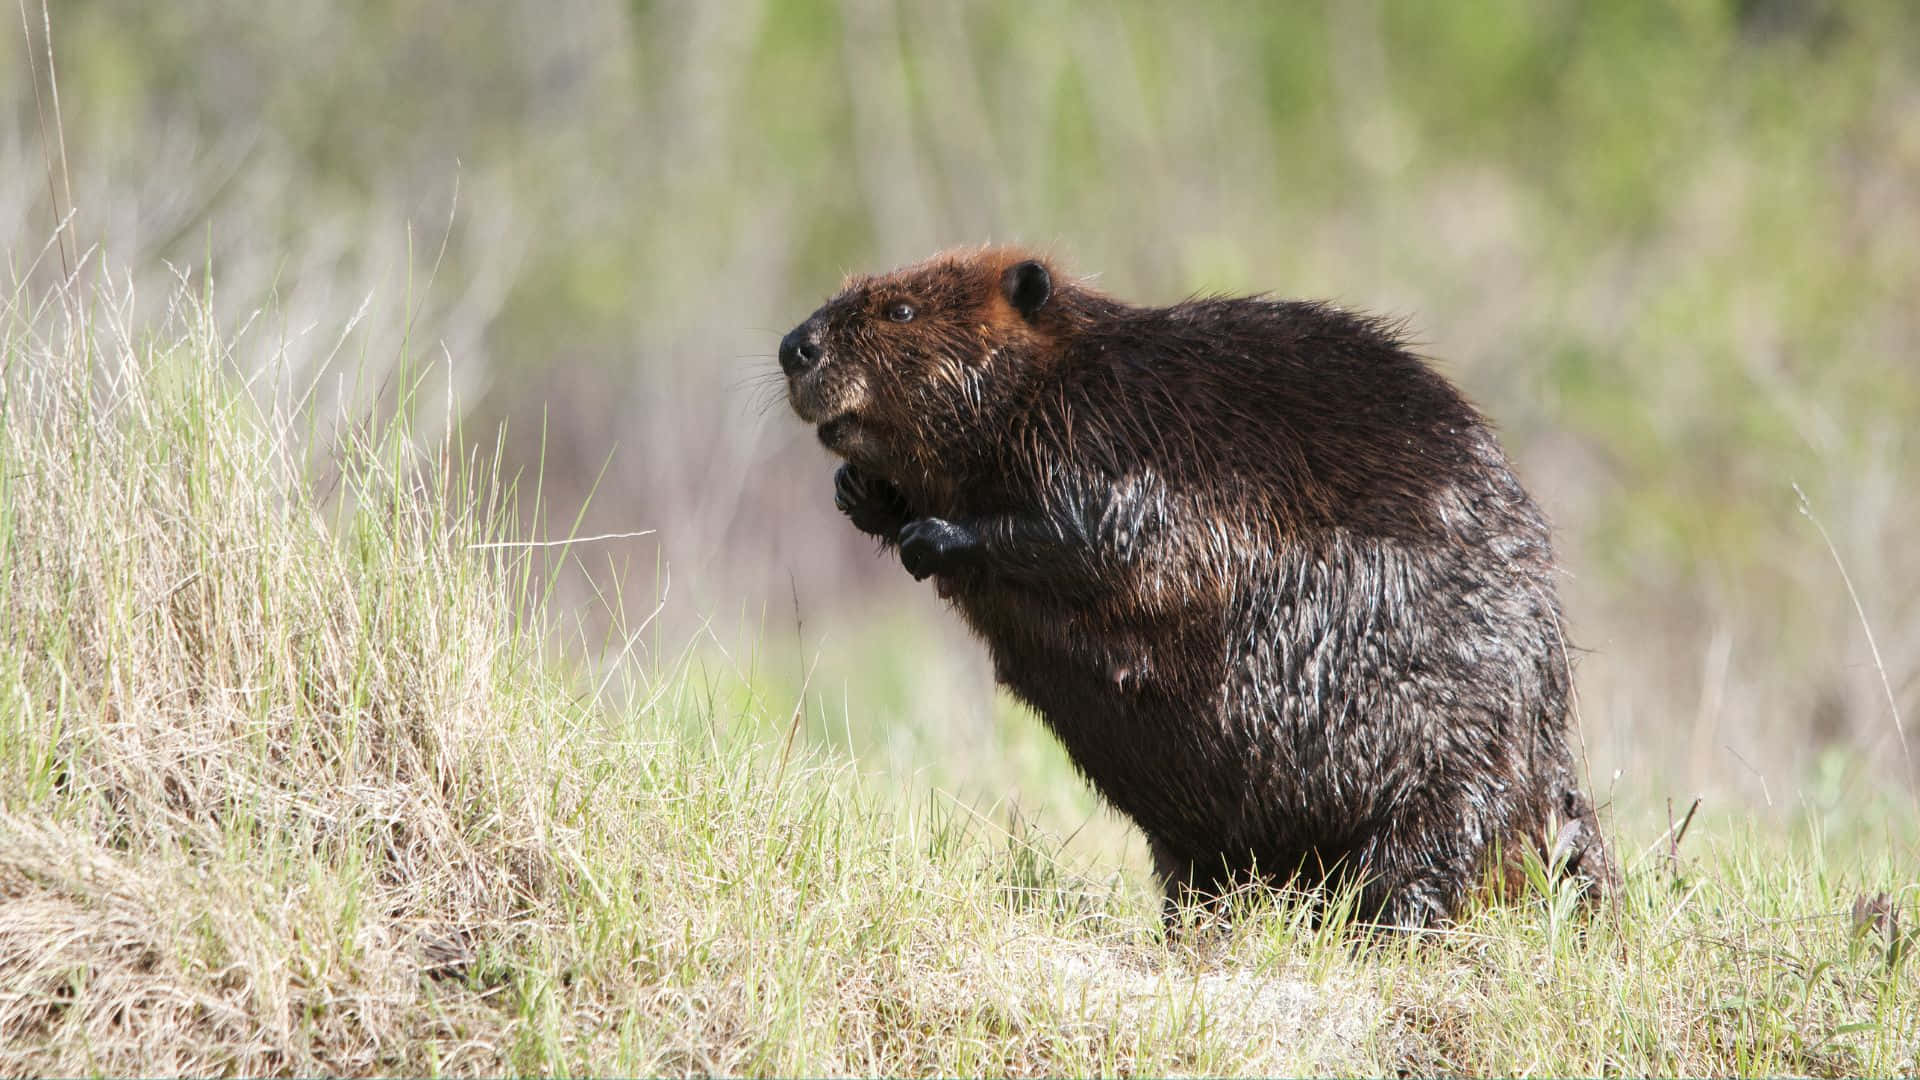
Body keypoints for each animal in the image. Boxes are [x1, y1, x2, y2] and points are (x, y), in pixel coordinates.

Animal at [771, 245, 1612, 926]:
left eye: (901, 310)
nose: (793, 345)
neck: (1064, 368)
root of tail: (1552, 778)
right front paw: (863, 492)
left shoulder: (1112, 428)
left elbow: (1105, 534)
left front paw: (935, 534)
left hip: (1449, 772)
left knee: (1422, 859)